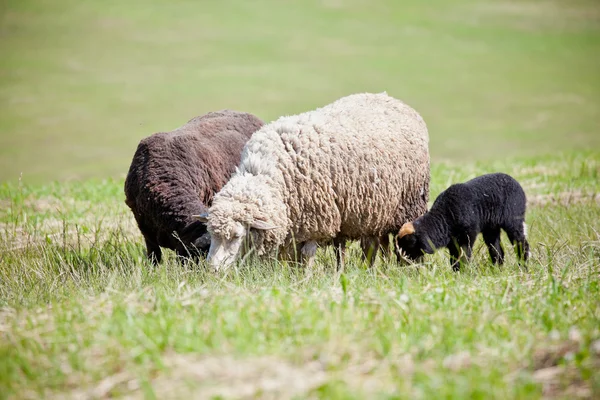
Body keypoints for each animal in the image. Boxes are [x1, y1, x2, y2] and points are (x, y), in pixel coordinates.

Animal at [396, 173, 528, 272]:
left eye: (410, 245)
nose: (402, 265)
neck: (444, 216)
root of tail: (515, 182)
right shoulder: (452, 241)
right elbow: (454, 259)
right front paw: (456, 272)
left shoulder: (468, 235)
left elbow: (464, 255)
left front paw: (464, 271)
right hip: (491, 227)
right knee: (496, 249)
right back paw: (497, 269)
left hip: (513, 220)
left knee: (521, 242)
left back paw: (523, 266)